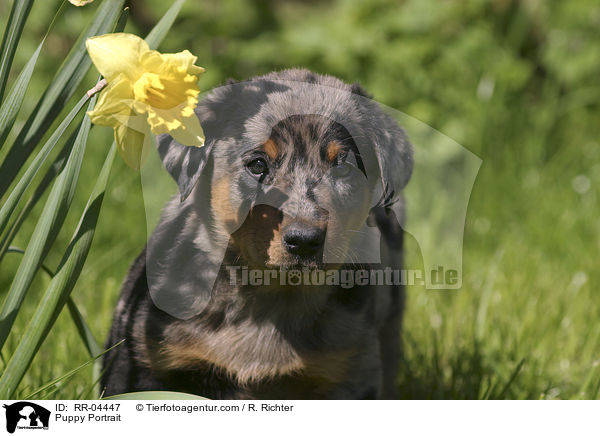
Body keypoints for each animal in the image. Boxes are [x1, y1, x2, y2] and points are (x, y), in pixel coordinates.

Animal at [102, 68, 412, 398]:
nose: (305, 241)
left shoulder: (350, 370)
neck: (268, 299)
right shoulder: (145, 361)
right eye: (258, 164)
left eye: (343, 169)